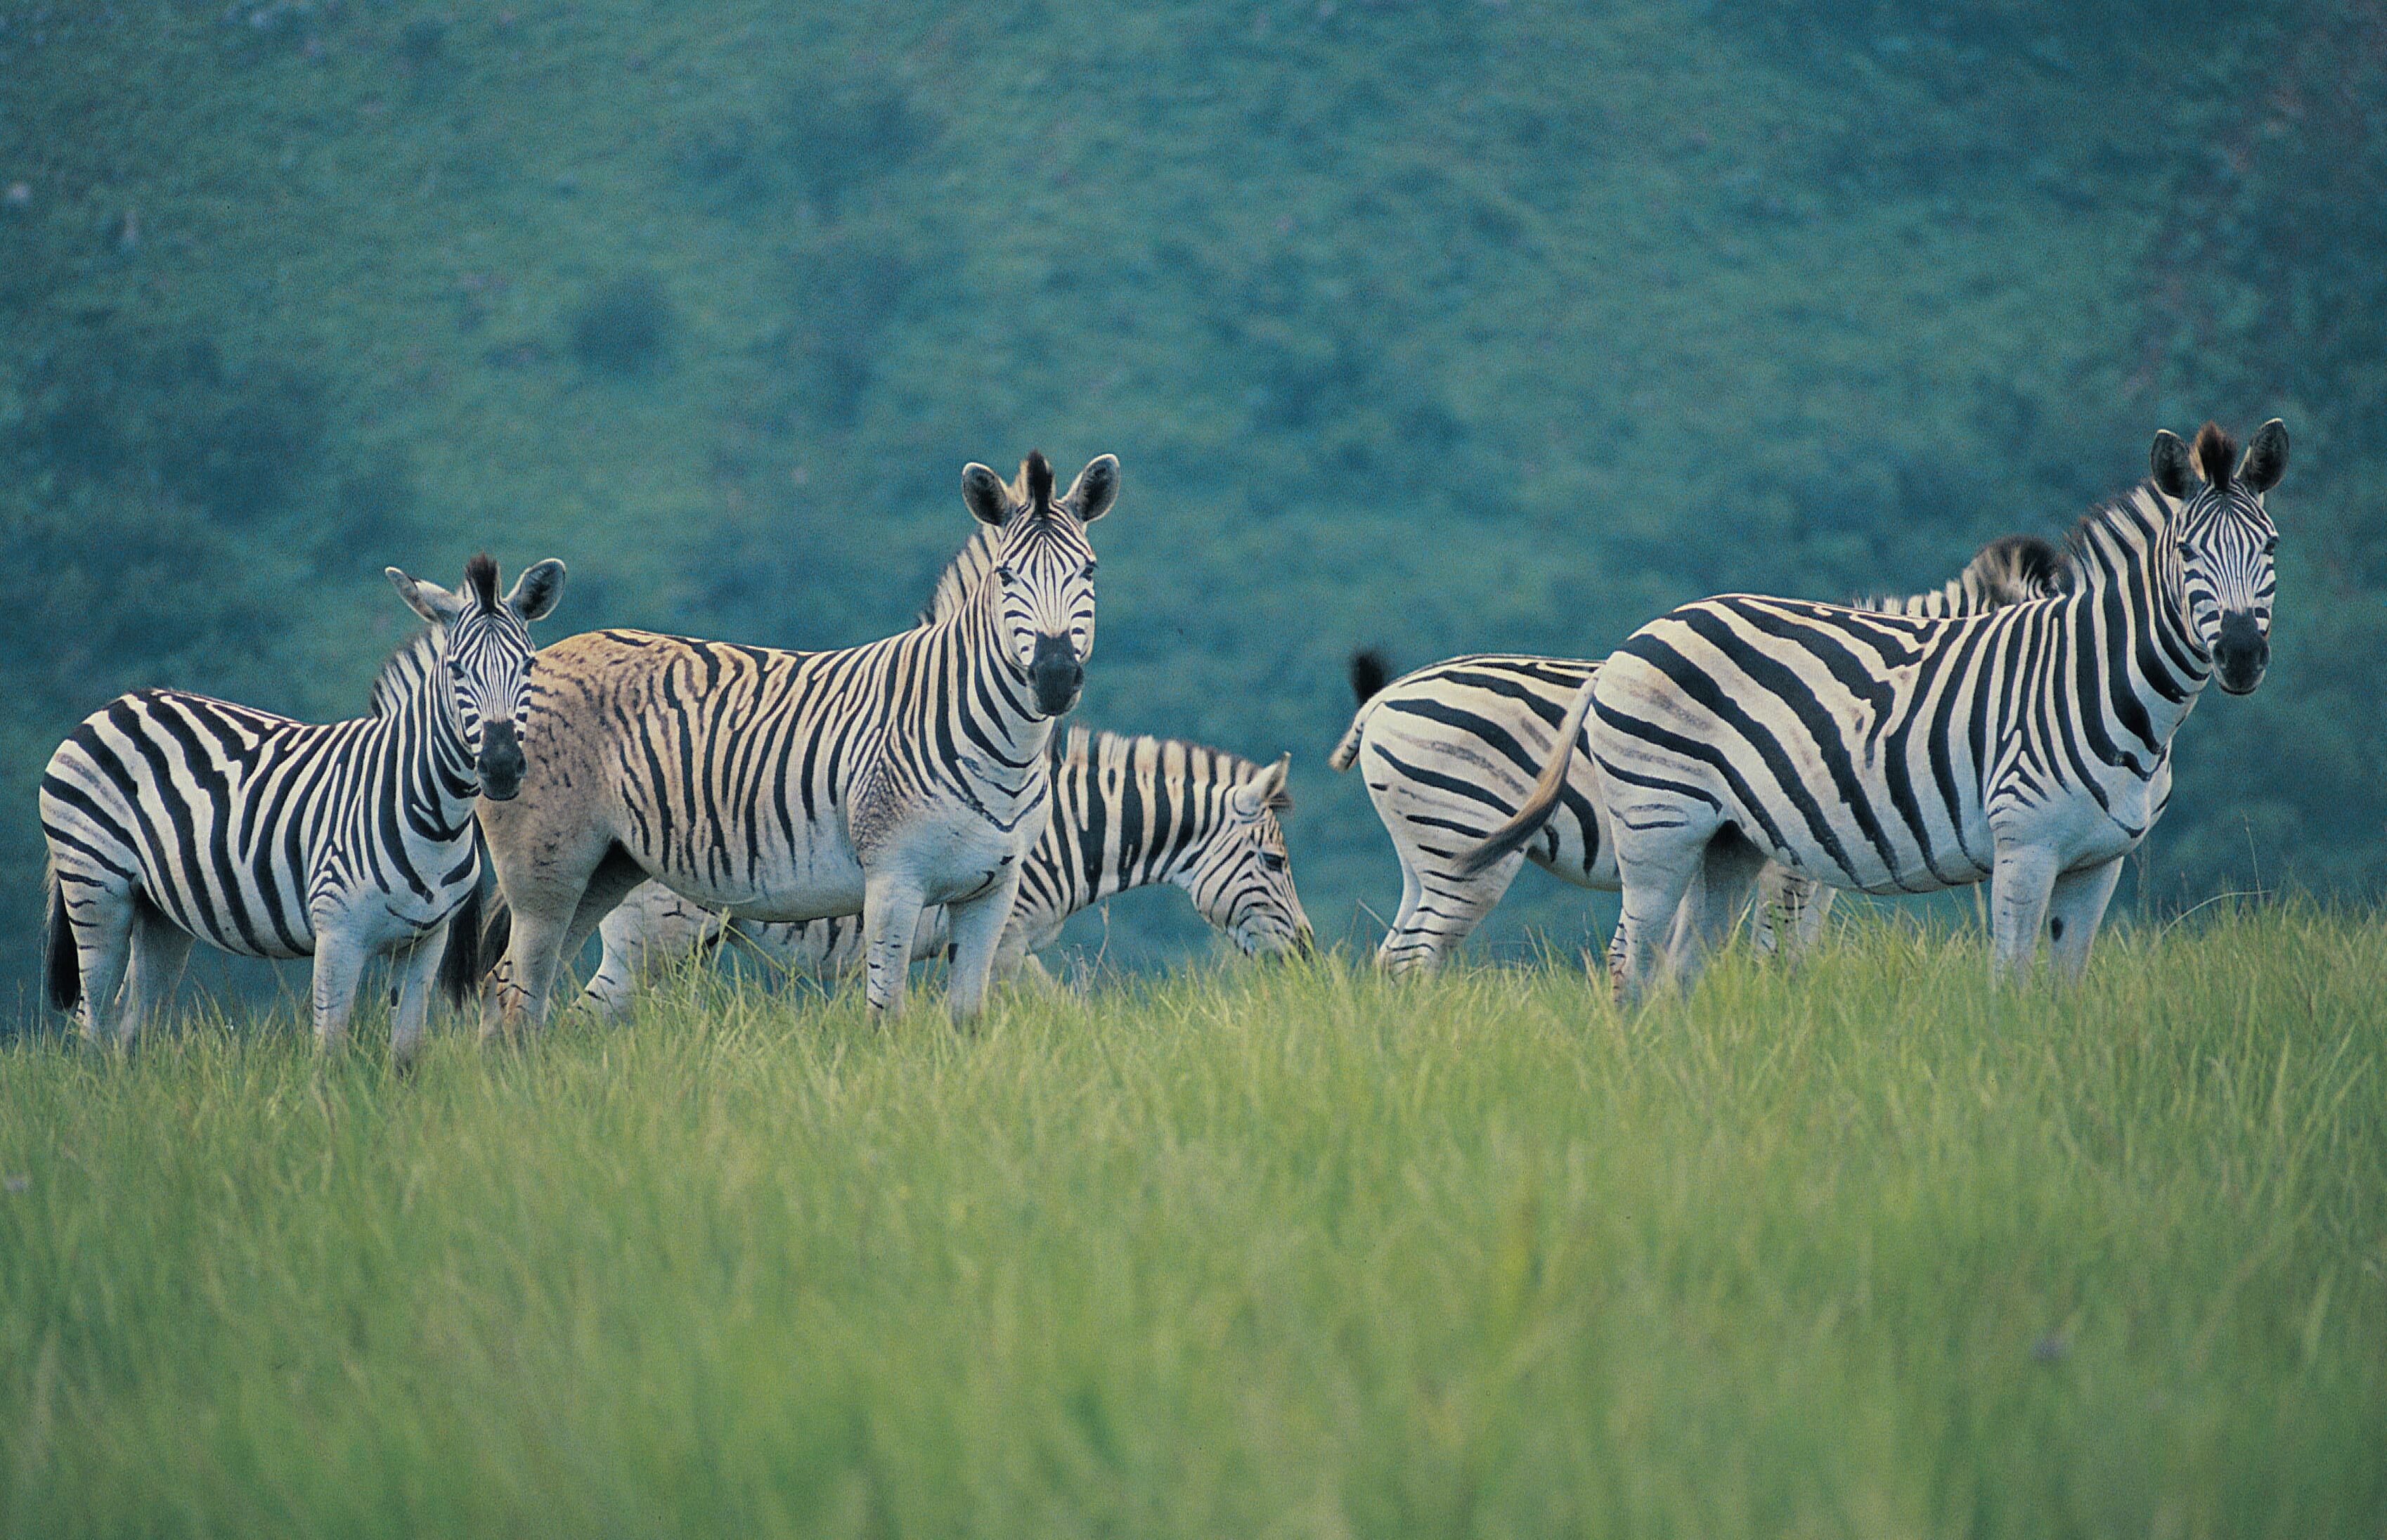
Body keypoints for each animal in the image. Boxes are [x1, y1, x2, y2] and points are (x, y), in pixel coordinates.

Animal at [39, 555, 567, 1059]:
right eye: (456, 670)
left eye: (528, 667)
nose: (501, 766)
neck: (435, 818)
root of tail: (114, 705)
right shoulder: (339, 934)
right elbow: (329, 1051)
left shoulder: (424, 942)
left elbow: (405, 1055)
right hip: (96, 889)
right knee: (93, 1016)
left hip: (160, 912)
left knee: (132, 1020)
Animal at [469, 450, 1119, 1028]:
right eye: (1006, 577)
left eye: (1089, 571)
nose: (1055, 676)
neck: (997, 745)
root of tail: (538, 659)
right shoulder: (894, 881)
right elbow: (886, 1018)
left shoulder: (993, 891)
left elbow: (968, 1018)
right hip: (547, 873)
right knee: (515, 990)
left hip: (604, 870)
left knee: (522, 991)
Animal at [576, 726, 1312, 1013]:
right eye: (1275, 861)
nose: (1308, 954)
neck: (1064, 829)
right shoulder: (1009, 937)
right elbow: (1059, 1012)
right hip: (658, 940)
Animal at [1330, 534, 2063, 973]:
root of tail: (1385, 698)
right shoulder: (1789, 860)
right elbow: (1776, 956)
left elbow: (1796, 955)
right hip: (1465, 843)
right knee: (1413, 956)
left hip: (1428, 850)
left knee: (1394, 955)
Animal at [1461, 420, 2286, 999]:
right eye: (2186, 554)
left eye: (2272, 547)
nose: (2243, 653)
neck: (2103, 683)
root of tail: (1632, 641)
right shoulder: (2024, 845)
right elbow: (2011, 982)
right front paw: (2011, 1079)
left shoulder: (2101, 861)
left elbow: (2063, 989)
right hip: (1658, 825)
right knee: (1630, 959)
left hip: (1729, 840)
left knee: (1683, 968)